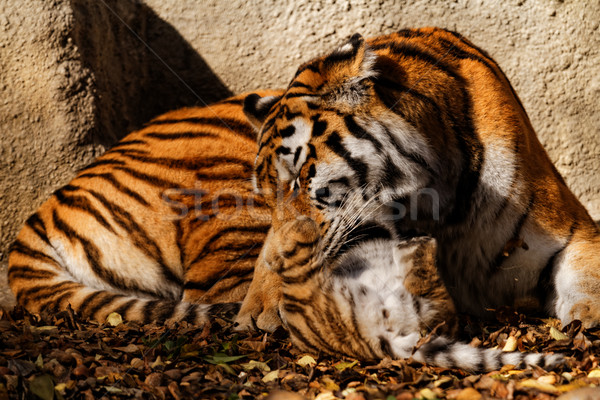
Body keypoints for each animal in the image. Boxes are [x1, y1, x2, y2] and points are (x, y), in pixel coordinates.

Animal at [239, 26, 600, 330]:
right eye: (266, 197)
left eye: (298, 178)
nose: (280, 265)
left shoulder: (572, 228)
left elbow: (585, 269)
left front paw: (588, 313)